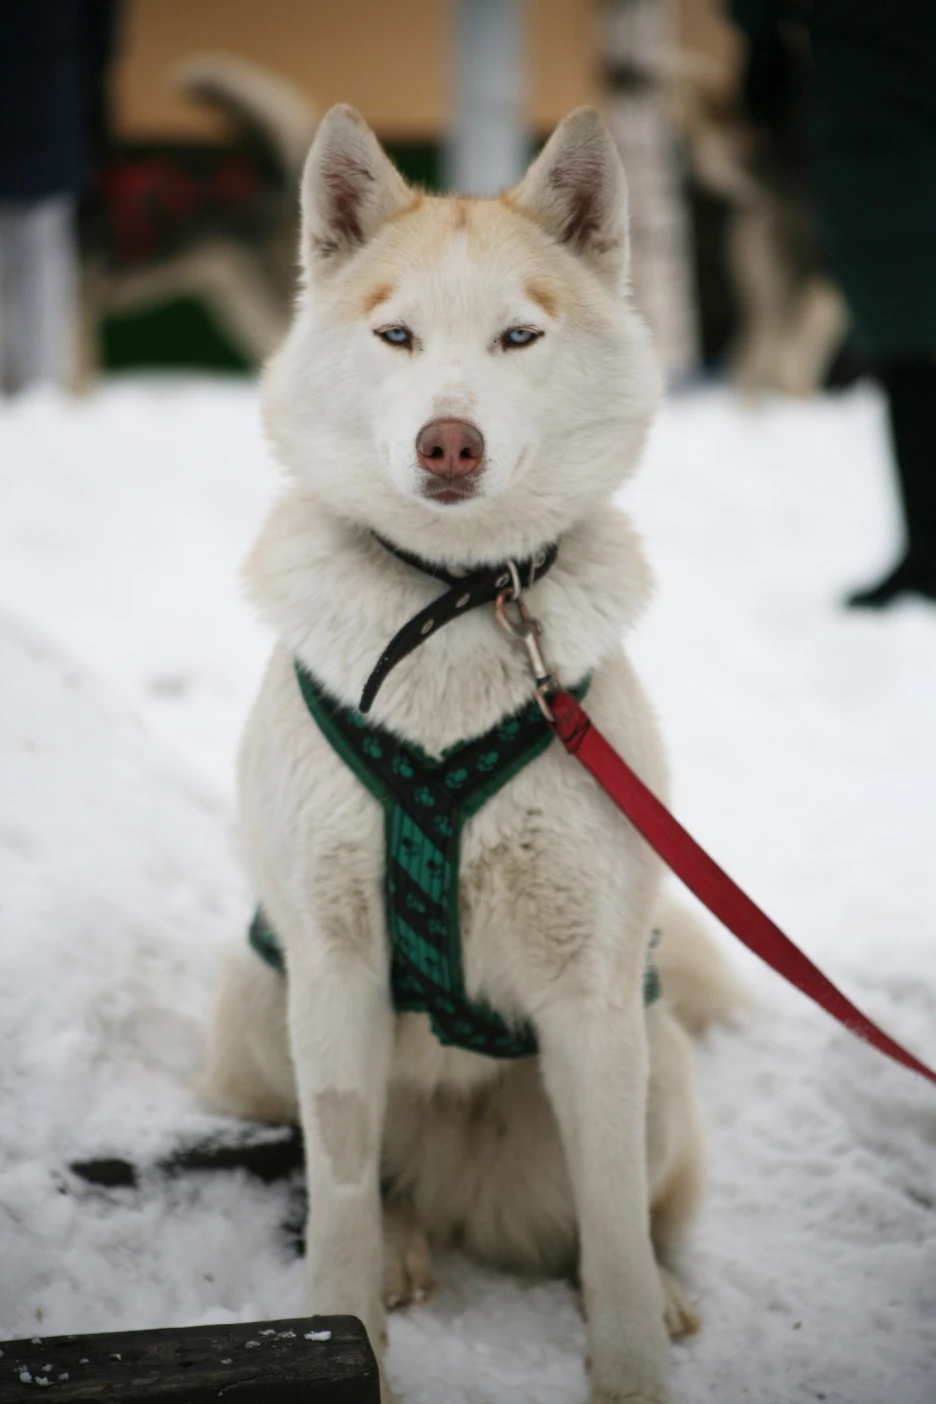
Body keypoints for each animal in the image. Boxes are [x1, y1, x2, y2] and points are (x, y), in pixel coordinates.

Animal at [203, 101, 740, 1404]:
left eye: (518, 337)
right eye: (396, 334)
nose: (451, 443)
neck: (455, 602)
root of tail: (468, 1193)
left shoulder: (593, 1000)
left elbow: (613, 1233)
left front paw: (634, 1364)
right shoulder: (333, 969)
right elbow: (341, 1189)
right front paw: (338, 1328)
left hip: (653, 1060)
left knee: (629, 1217)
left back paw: (669, 1292)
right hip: (261, 988)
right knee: (354, 1176)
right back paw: (405, 1244)